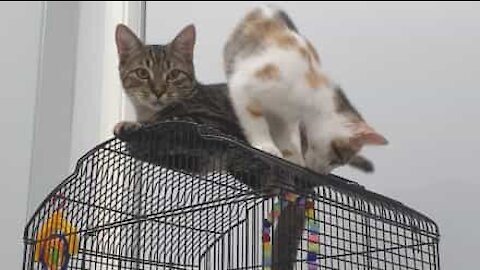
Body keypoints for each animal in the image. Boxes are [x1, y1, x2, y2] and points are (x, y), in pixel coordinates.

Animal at [225, 5, 390, 268]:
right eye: (337, 157)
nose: (320, 173)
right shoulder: (247, 85)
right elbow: (254, 118)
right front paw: (266, 146)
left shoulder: (285, 119)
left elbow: (288, 142)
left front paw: (292, 159)